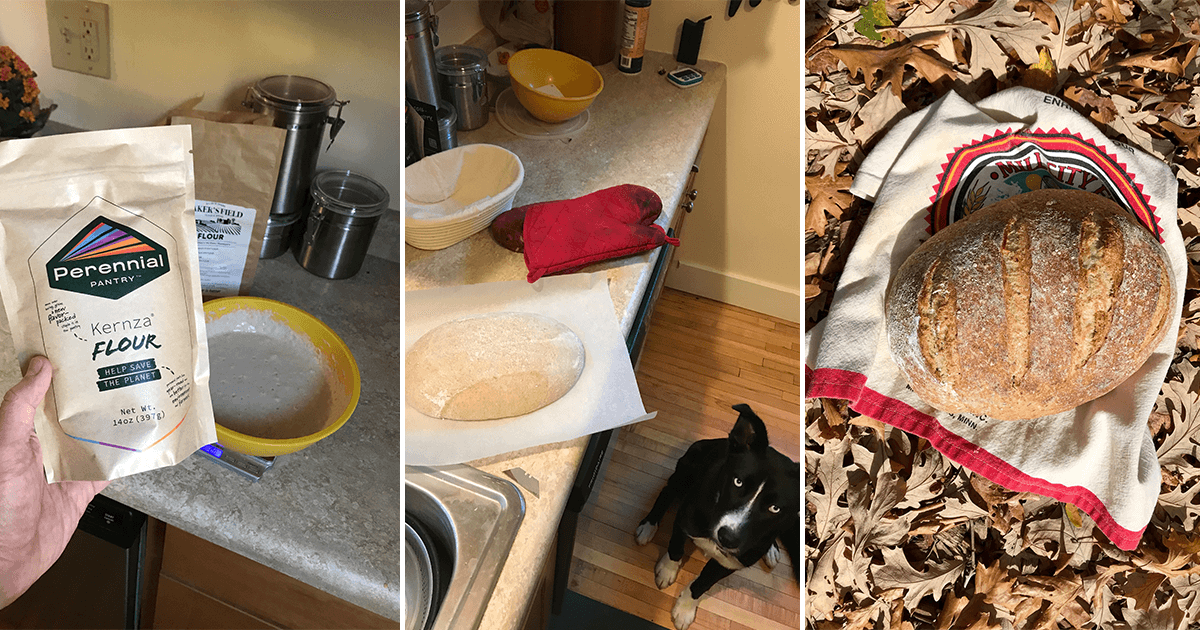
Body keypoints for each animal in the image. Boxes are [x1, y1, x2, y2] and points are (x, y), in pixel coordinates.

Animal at [633, 403, 801, 628]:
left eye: (775, 508)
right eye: (737, 481)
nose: (727, 538)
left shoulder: (730, 563)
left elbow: (703, 583)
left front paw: (685, 609)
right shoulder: (685, 519)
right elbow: (675, 548)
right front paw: (667, 571)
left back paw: (771, 549)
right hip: (686, 468)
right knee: (667, 492)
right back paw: (648, 526)